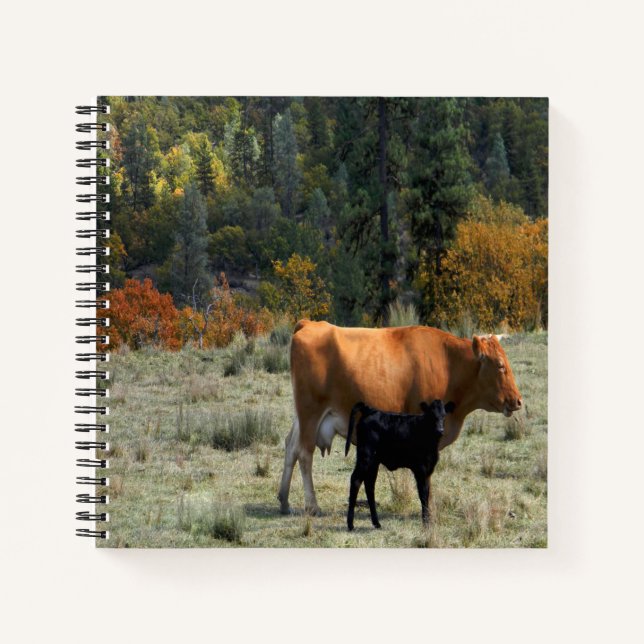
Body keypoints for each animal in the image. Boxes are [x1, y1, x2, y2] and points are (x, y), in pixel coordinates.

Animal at [278, 320, 522, 516]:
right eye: (500, 366)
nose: (518, 401)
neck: (449, 364)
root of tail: (310, 324)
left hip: (303, 418)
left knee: (291, 447)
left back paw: (284, 501)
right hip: (310, 413)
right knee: (304, 455)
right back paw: (312, 506)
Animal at [345, 399, 455, 531]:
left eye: (444, 416)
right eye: (432, 415)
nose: (440, 430)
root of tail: (370, 410)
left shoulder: (428, 470)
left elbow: (427, 494)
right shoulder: (420, 469)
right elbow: (423, 495)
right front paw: (426, 523)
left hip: (373, 462)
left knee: (369, 485)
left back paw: (376, 523)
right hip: (365, 456)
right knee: (355, 480)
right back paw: (350, 524)